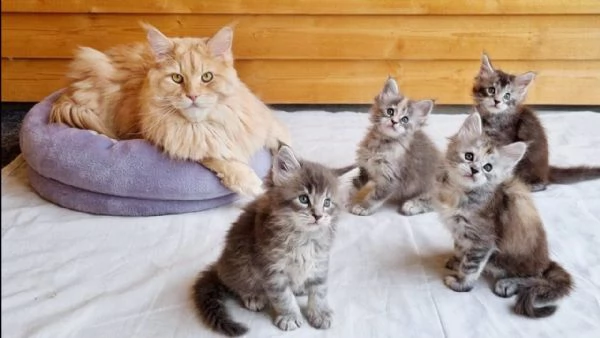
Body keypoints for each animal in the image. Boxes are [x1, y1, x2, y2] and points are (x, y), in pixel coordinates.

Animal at [50, 23, 290, 197]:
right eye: (177, 78)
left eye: (207, 77)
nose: (192, 96)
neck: (207, 125)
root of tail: (66, 91)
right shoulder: (178, 141)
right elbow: (218, 157)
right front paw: (249, 182)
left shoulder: (266, 123)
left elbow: (284, 143)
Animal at [192, 145, 352, 336]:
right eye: (303, 199)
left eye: (327, 202)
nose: (318, 216)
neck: (303, 238)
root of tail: (219, 265)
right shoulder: (271, 268)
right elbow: (283, 297)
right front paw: (290, 316)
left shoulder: (319, 261)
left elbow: (319, 290)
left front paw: (320, 313)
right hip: (240, 263)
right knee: (235, 284)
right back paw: (253, 296)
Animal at [350, 77, 442, 217]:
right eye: (390, 111)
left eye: (405, 119)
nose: (394, 122)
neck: (381, 143)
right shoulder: (365, 166)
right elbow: (353, 182)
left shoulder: (391, 178)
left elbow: (375, 196)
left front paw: (363, 206)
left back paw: (413, 205)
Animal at [436, 112, 572, 318]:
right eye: (469, 156)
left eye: (488, 168)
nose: (474, 170)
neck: (460, 193)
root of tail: (546, 261)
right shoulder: (460, 231)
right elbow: (460, 249)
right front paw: (456, 261)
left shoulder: (483, 240)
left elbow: (470, 267)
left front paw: (460, 284)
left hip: (508, 260)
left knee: (535, 277)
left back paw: (508, 284)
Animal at [474, 52, 600, 190]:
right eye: (491, 90)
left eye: (507, 96)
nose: (497, 101)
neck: (492, 117)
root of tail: (546, 170)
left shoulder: (504, 141)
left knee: (542, 184)